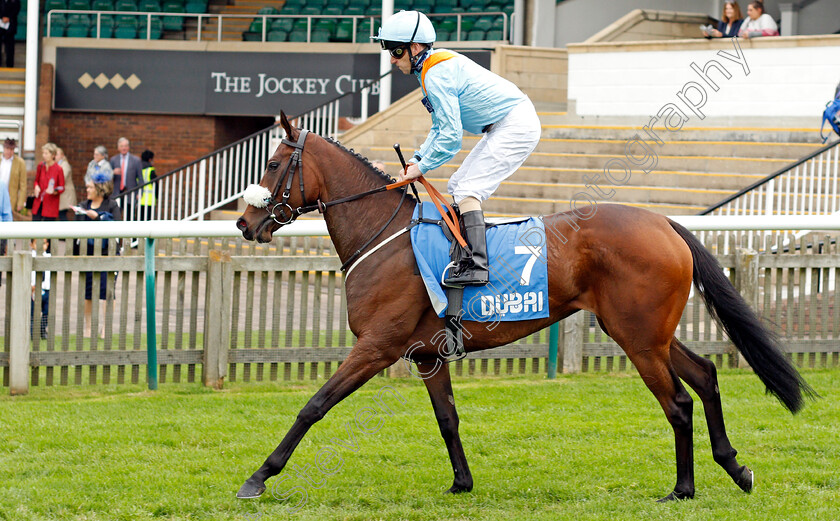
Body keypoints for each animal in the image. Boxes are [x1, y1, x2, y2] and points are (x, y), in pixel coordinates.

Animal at [233, 114, 812, 504]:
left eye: (274, 163)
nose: (243, 223)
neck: (385, 235)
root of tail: (664, 222)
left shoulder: (377, 346)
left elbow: (313, 405)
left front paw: (259, 476)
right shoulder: (427, 354)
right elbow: (447, 418)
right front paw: (461, 482)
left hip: (639, 338)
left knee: (678, 402)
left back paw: (683, 488)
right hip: (649, 333)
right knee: (707, 375)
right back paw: (735, 468)